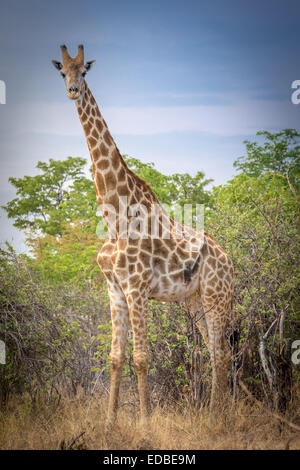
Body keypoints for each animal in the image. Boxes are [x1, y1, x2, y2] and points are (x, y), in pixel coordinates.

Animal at [52, 45, 234, 430]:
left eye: (84, 72)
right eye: (62, 72)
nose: (72, 91)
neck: (115, 215)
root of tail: (230, 262)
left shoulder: (137, 288)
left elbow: (141, 358)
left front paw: (146, 425)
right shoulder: (114, 289)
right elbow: (115, 357)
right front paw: (109, 423)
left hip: (217, 296)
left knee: (223, 353)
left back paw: (217, 418)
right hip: (195, 301)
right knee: (215, 352)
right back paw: (217, 414)